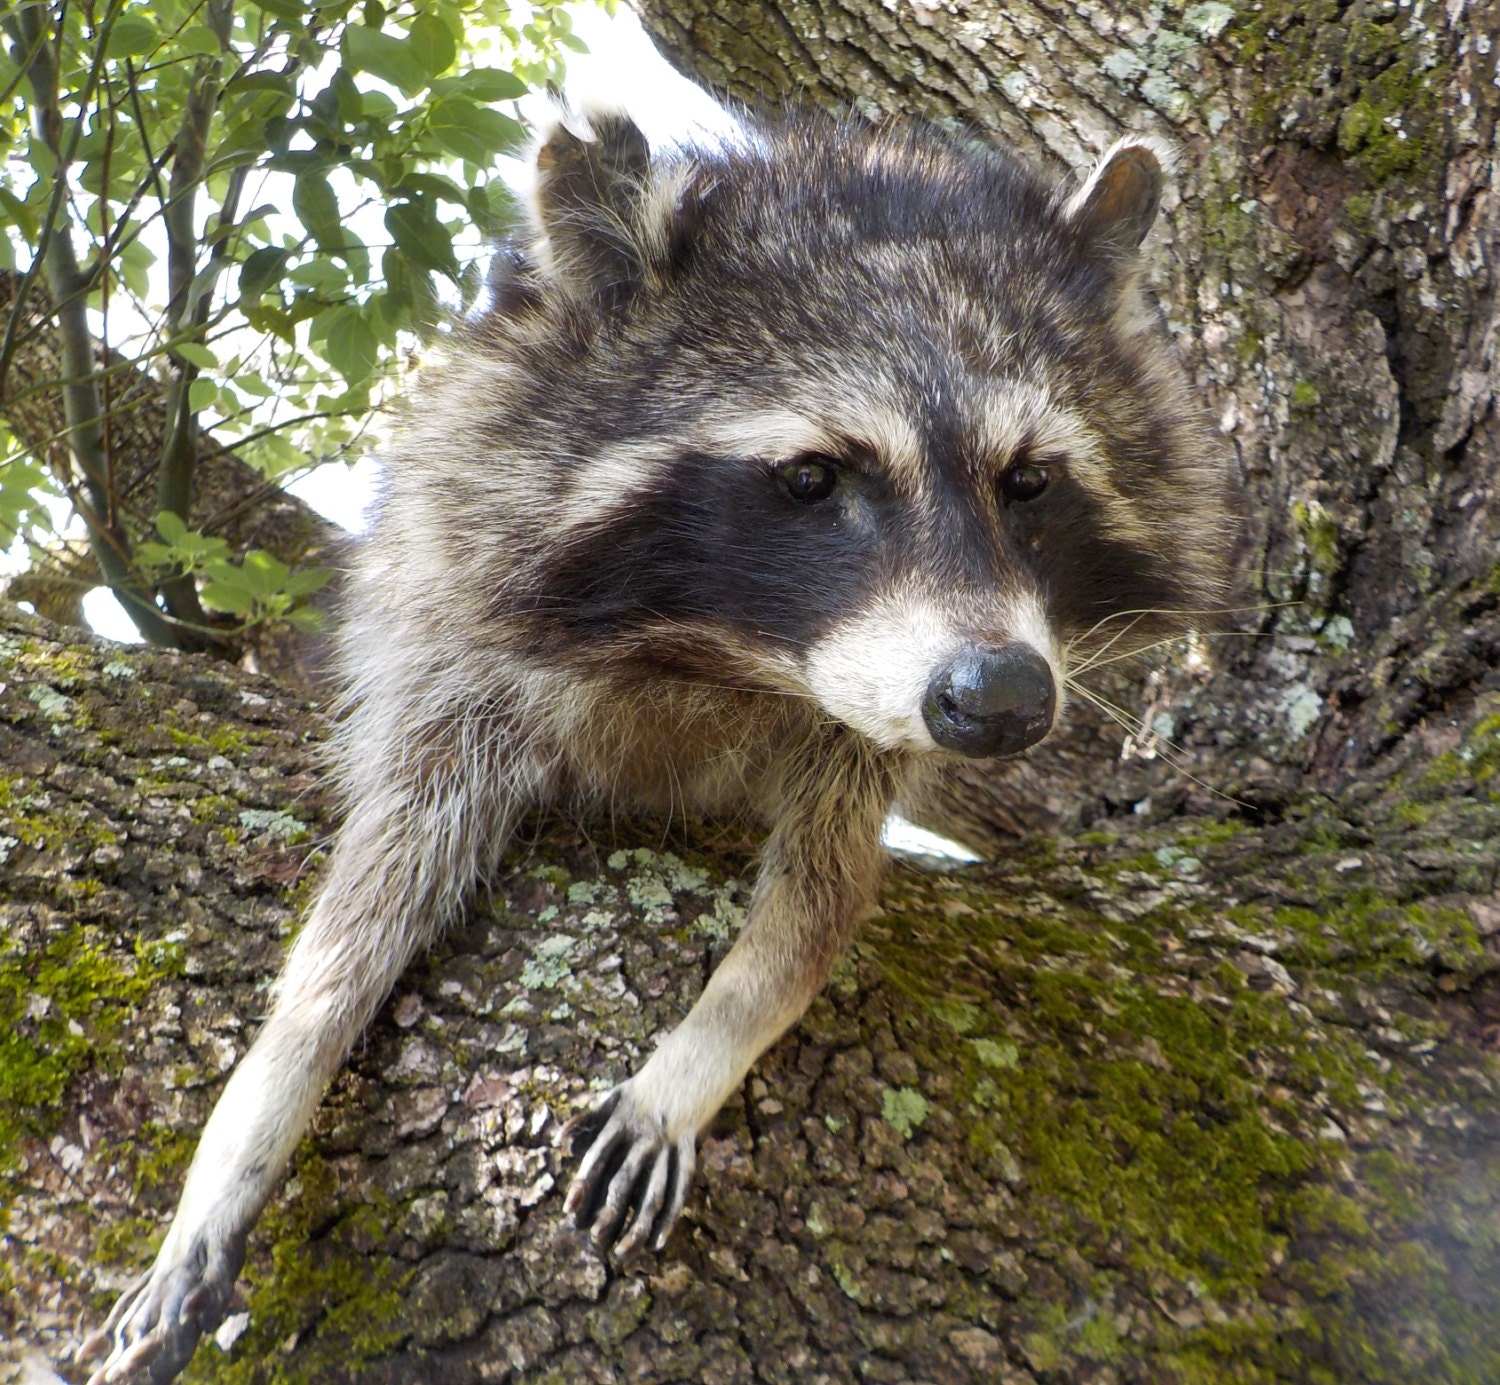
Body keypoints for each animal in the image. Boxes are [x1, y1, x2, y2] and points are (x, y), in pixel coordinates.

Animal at [81, 111, 1233, 1384]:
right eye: (812, 477)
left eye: (1029, 481)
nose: (1003, 699)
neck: (721, 643)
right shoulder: (453, 622)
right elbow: (372, 895)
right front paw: (263, 1098)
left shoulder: (866, 727)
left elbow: (822, 901)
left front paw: (709, 1041)